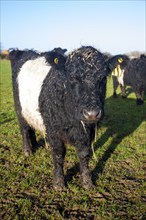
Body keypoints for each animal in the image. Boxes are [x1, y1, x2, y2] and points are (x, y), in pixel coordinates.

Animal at [9, 46, 111, 191]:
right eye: (72, 78)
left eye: (103, 78)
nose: (91, 113)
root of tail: (26, 51)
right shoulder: (54, 130)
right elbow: (58, 154)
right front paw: (59, 184)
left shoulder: (87, 132)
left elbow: (84, 154)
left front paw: (87, 182)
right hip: (19, 109)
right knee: (24, 129)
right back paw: (27, 151)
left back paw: (34, 144)